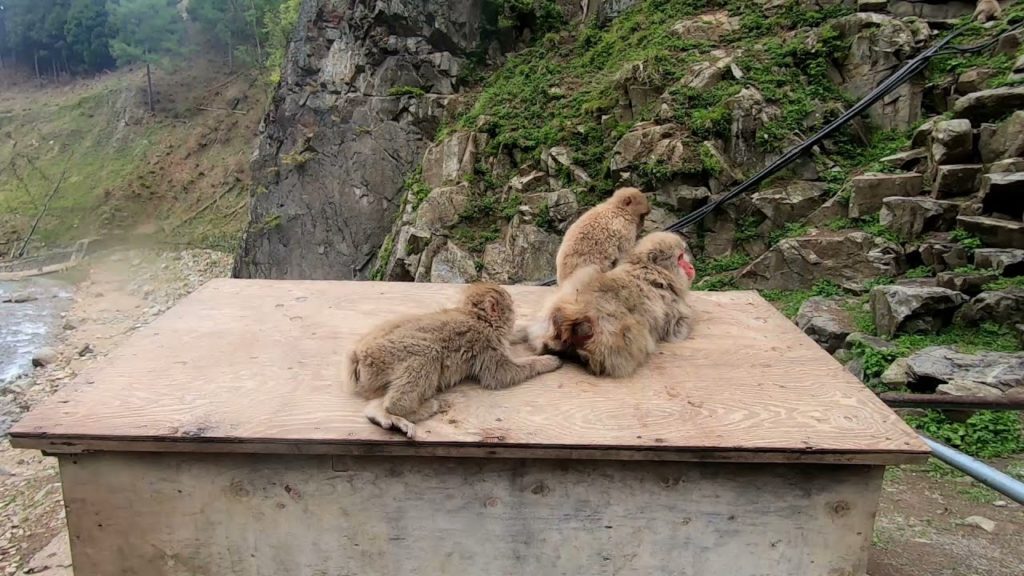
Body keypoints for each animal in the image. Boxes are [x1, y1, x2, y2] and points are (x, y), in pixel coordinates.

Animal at [346, 282, 562, 439]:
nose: (514, 313)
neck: (476, 316)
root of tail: (357, 356)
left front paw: (525, 332)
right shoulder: (485, 342)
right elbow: (500, 374)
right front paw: (547, 361)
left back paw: (379, 413)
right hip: (383, 357)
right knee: (428, 353)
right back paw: (401, 409)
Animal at [518, 231, 696, 378]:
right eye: (680, 258)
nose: (691, 267)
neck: (648, 267)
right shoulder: (672, 301)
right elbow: (678, 328)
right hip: (613, 335)